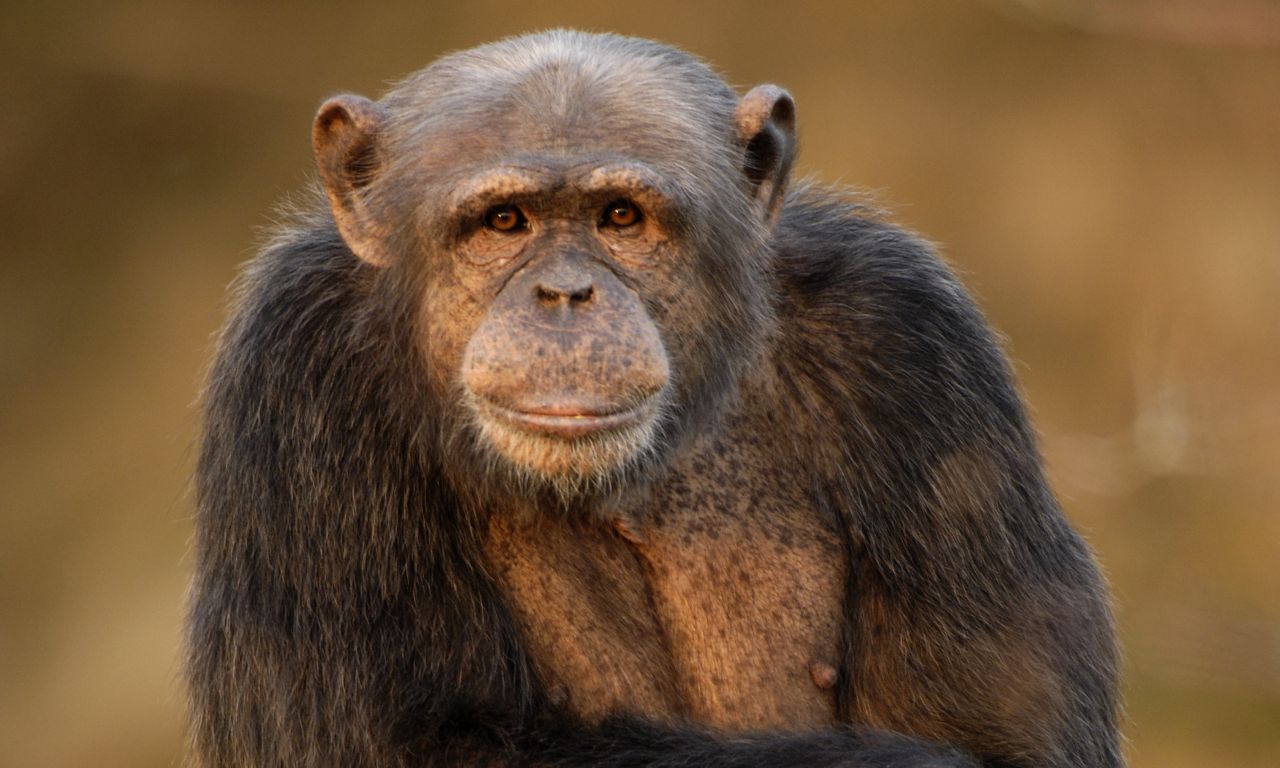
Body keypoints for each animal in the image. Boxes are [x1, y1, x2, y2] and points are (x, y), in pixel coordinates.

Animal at [189, 30, 1121, 768]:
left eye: (620, 216)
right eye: (505, 222)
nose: (566, 294)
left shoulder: (914, 345)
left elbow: (1013, 741)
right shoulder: (295, 364)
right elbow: (397, 740)